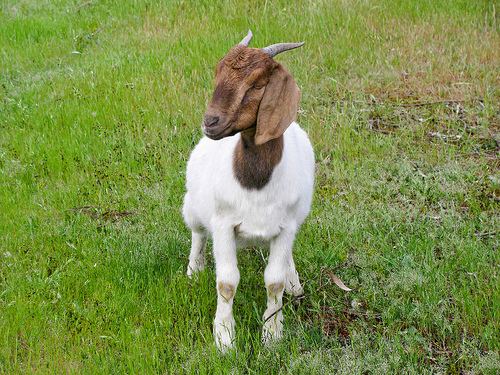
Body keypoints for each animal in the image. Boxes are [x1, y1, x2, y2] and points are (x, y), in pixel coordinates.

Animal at [182, 30, 314, 352]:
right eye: (217, 73)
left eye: (257, 84)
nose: (210, 121)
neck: (255, 184)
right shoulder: (223, 225)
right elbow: (227, 283)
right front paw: (225, 339)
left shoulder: (285, 227)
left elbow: (274, 282)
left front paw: (272, 335)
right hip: (192, 207)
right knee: (197, 234)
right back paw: (194, 271)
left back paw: (294, 281)